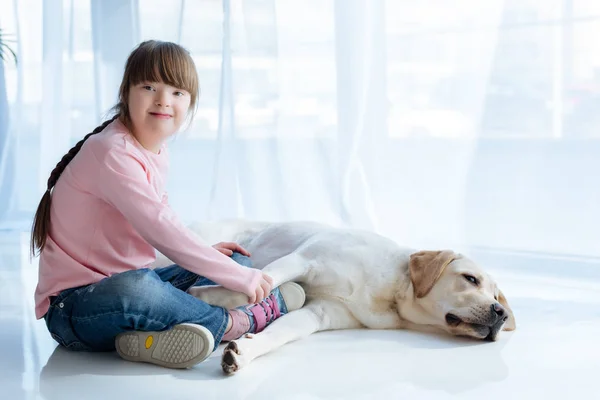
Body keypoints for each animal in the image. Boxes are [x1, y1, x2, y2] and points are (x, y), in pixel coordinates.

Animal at [156, 220, 516, 374]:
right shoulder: (301, 260)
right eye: (470, 279)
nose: (500, 313)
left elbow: (279, 332)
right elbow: (262, 282)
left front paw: (244, 351)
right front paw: (211, 294)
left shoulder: (318, 313)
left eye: (496, 294)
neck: (390, 291)